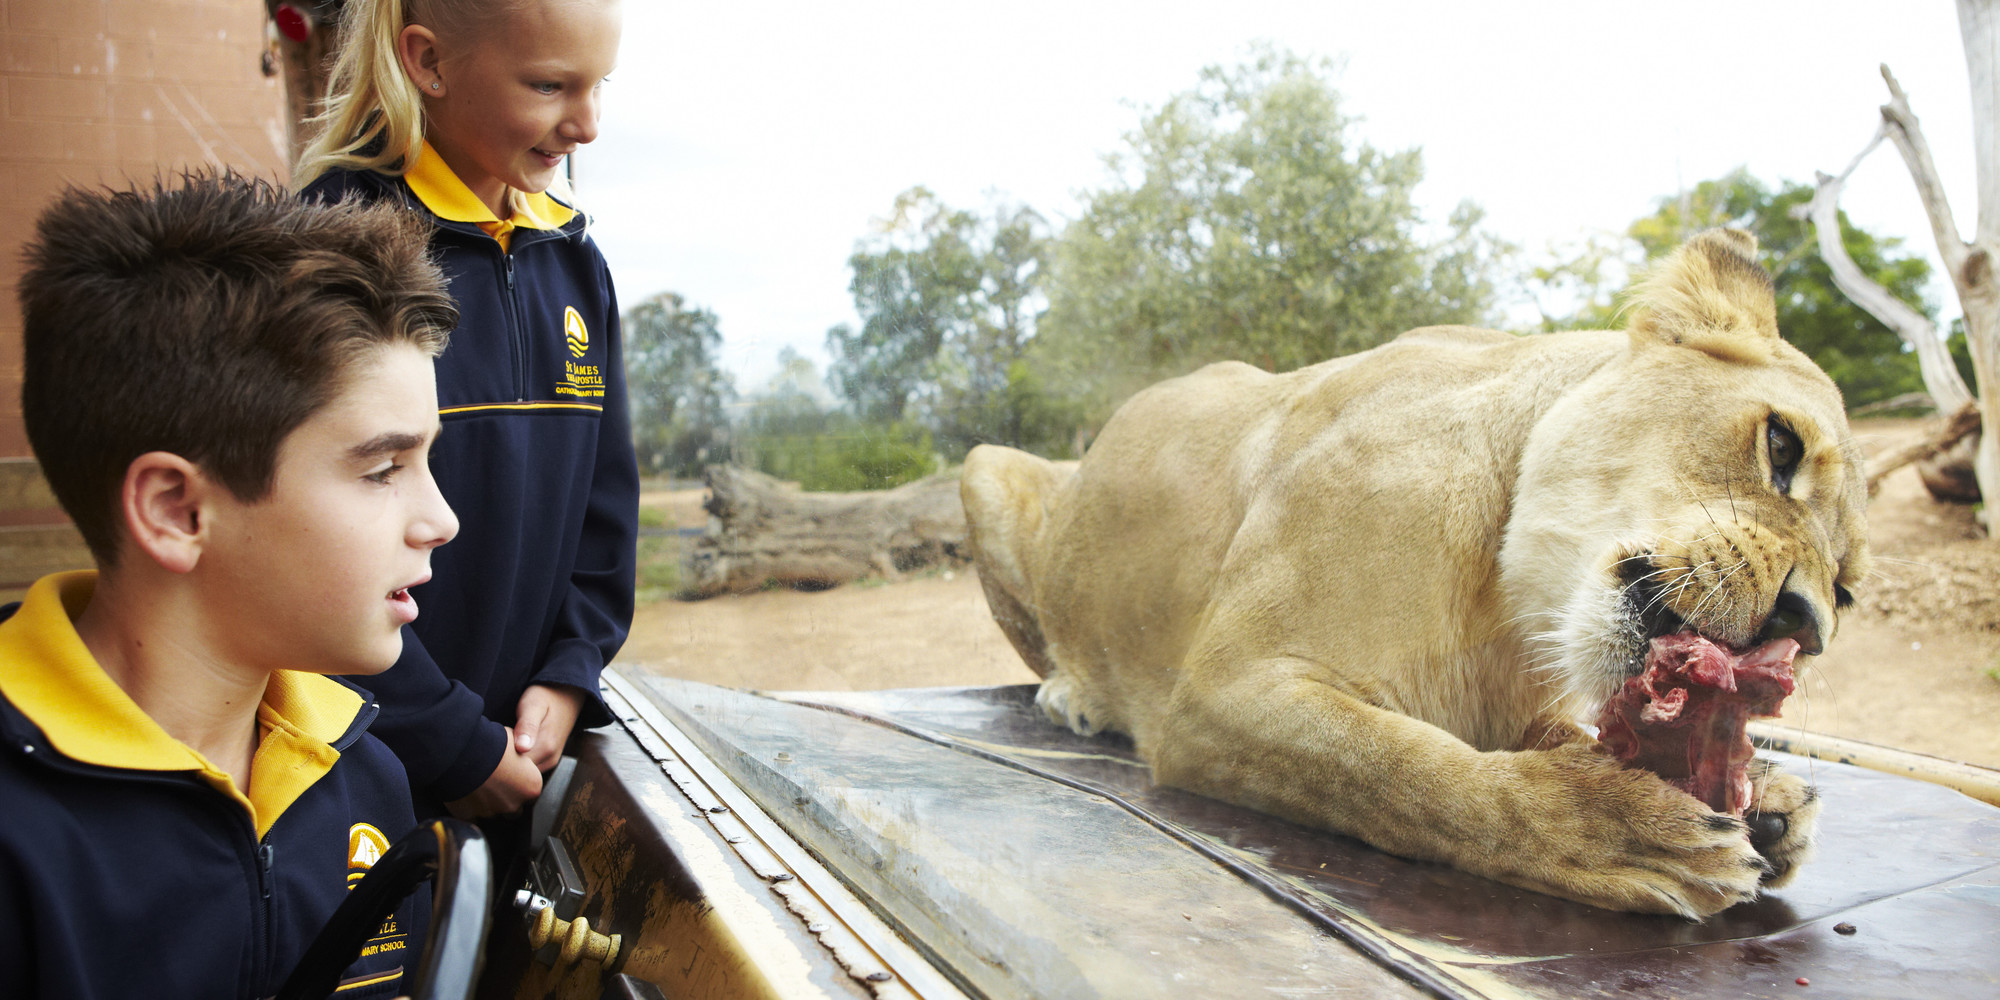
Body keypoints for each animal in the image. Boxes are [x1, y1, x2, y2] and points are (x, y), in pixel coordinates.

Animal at [960, 229, 1868, 918]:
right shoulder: (1220, 691)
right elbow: (1407, 773)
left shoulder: (1521, 709)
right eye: (1780, 446)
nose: (1804, 625)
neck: (1507, 606)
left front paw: (1766, 799)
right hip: (982, 467)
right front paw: (1617, 830)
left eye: (1846, 592)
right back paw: (1072, 697)